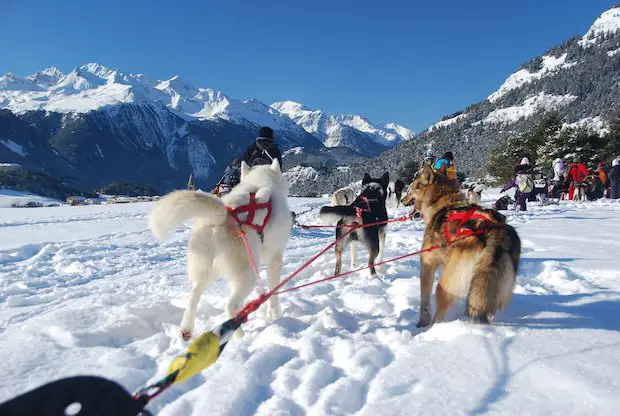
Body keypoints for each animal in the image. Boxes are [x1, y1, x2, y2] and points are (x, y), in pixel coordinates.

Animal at [151, 158, 294, 340]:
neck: (260, 181)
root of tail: (223, 216)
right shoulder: (274, 259)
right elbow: (273, 293)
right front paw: (275, 315)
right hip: (248, 274)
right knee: (230, 306)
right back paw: (239, 336)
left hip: (207, 271)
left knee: (193, 296)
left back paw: (186, 329)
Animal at [402, 167, 520, 326]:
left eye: (411, 188)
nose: (402, 200)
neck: (441, 202)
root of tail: (496, 232)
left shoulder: (428, 265)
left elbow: (424, 301)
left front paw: (422, 322)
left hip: (447, 282)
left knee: (441, 307)